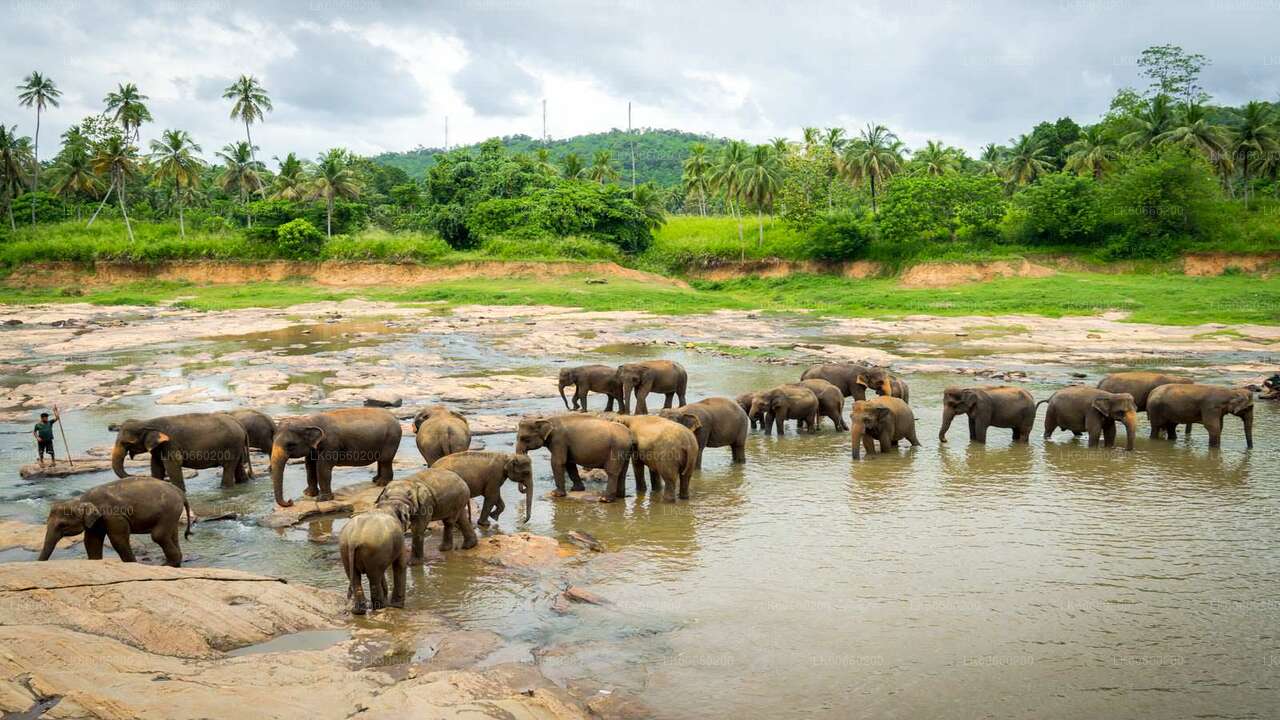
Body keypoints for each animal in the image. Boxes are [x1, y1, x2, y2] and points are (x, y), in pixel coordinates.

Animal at [38, 477, 191, 567]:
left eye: (62, 525)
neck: (82, 499)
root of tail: (181, 493)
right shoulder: (97, 521)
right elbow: (91, 541)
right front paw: (95, 562)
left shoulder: (113, 515)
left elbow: (118, 539)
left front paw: (132, 564)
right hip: (172, 513)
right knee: (172, 534)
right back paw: (172, 562)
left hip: (169, 510)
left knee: (158, 535)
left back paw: (168, 565)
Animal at [111, 413, 250, 491]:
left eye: (125, 443)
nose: (134, 476)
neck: (147, 422)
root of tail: (240, 423)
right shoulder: (158, 447)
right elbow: (156, 466)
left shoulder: (170, 444)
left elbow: (173, 464)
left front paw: (180, 491)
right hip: (237, 445)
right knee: (238, 465)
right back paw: (243, 482)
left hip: (232, 445)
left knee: (228, 467)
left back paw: (224, 488)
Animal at [270, 407, 402, 507]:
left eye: (290, 445)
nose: (290, 501)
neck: (308, 421)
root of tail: (395, 418)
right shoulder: (313, 448)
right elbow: (310, 466)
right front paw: (308, 494)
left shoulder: (331, 444)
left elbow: (322, 467)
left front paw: (322, 499)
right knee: (381, 461)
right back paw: (375, 480)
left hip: (391, 439)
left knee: (385, 460)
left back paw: (381, 483)